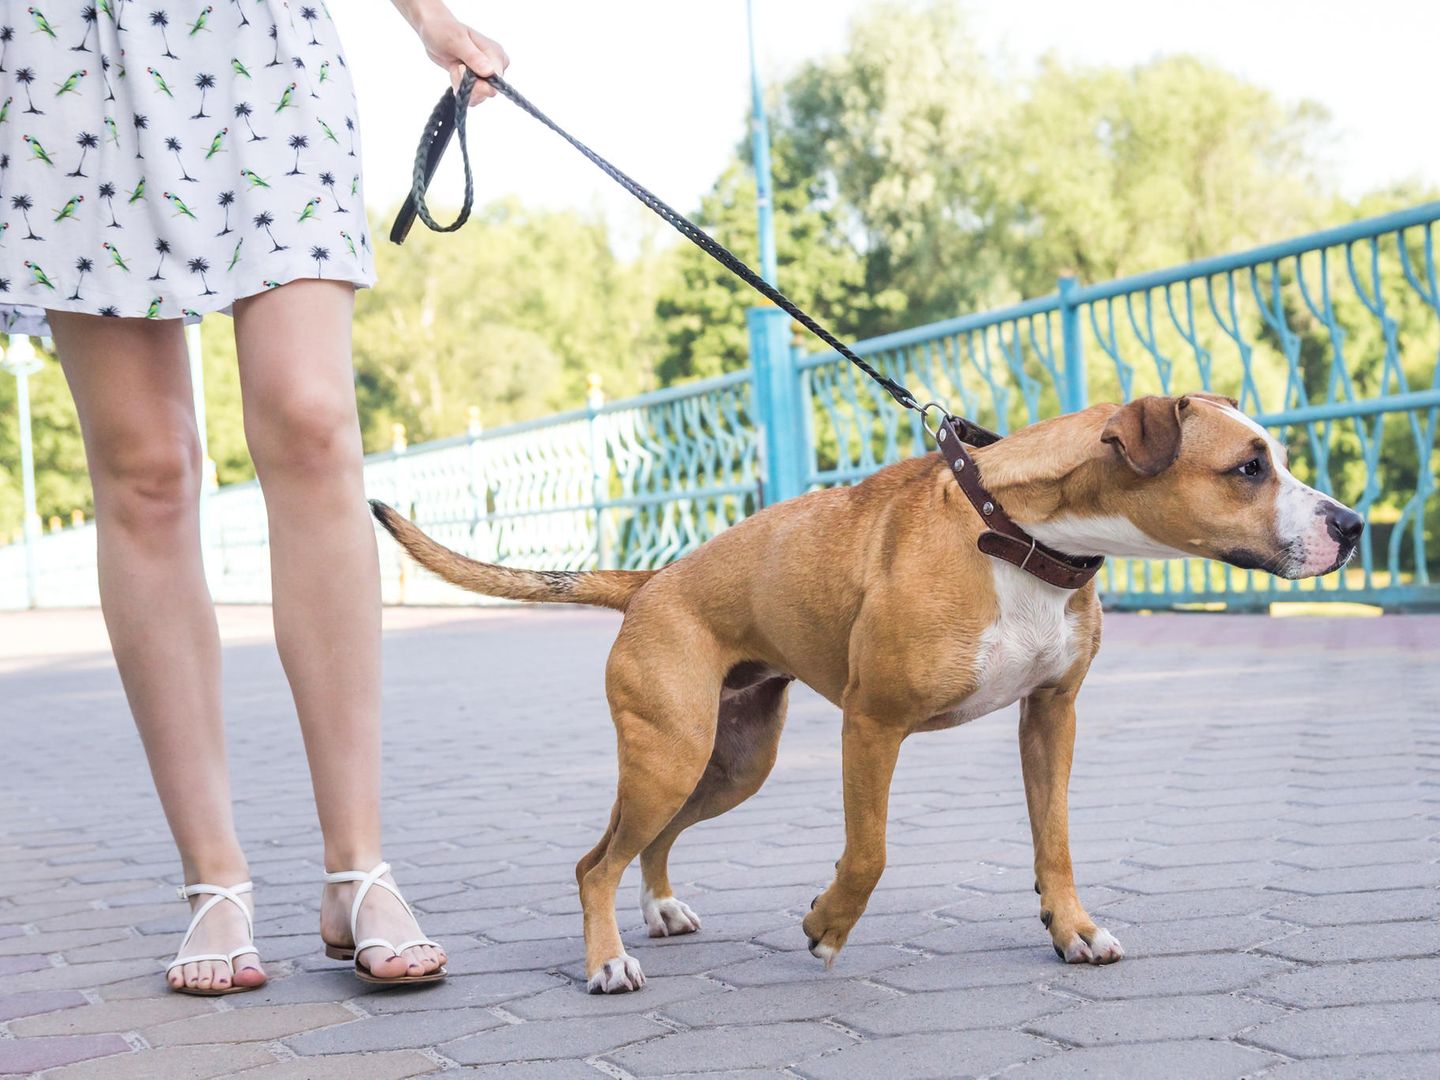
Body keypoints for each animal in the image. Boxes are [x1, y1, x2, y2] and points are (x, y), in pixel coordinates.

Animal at [371, 394, 1359, 996]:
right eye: (1248, 468)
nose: (1350, 525)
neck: (1016, 534)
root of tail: (652, 582)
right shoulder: (873, 726)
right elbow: (871, 853)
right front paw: (825, 926)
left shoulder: (1052, 719)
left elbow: (1057, 840)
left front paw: (1071, 929)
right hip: (670, 753)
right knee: (593, 862)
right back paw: (609, 960)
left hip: (729, 762)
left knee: (647, 842)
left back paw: (657, 908)